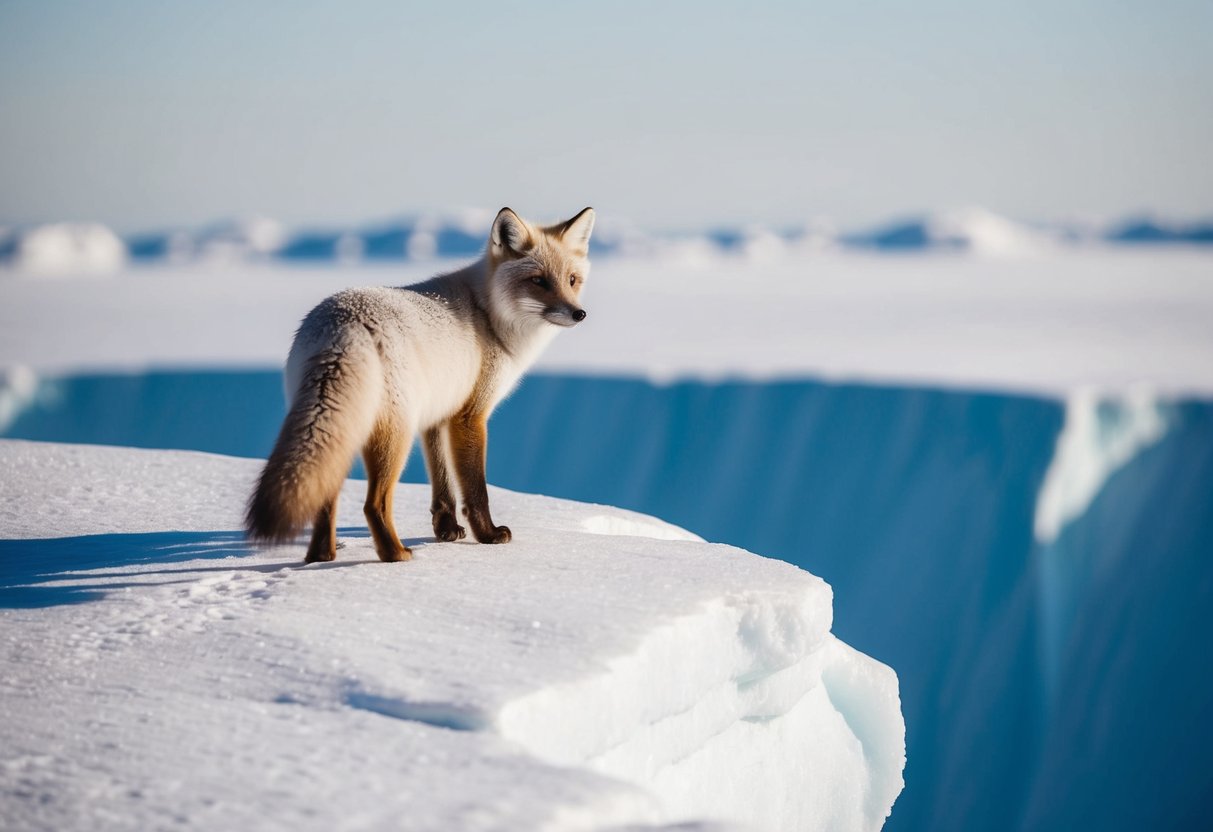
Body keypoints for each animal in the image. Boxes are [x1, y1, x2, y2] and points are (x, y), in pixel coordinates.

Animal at [245, 206, 595, 563]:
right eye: (538, 281)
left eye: (572, 280)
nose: (578, 313)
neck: (488, 312)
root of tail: (344, 325)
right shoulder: (470, 416)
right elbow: (476, 489)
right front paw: (488, 536)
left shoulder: (437, 416)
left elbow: (443, 487)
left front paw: (446, 531)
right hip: (395, 435)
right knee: (373, 504)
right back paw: (395, 555)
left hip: (348, 430)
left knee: (324, 497)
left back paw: (321, 557)